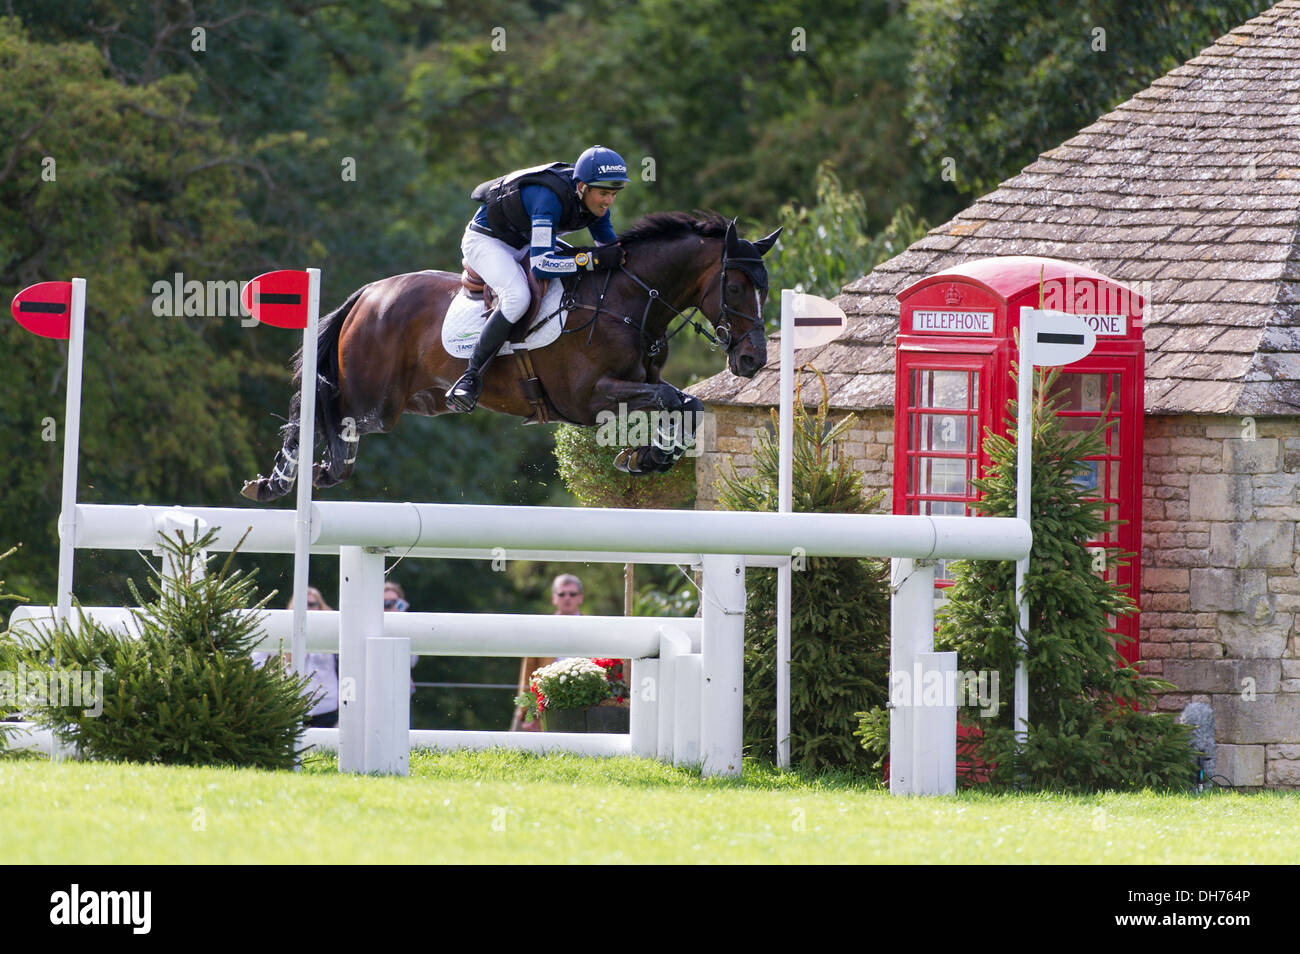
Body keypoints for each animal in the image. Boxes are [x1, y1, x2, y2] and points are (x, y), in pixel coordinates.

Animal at [239, 213, 774, 504]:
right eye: (733, 287)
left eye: (765, 289)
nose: (752, 360)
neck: (627, 299)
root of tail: (369, 293)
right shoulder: (589, 398)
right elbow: (671, 398)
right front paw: (648, 455)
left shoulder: (634, 388)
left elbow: (686, 404)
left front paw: (647, 457)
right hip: (373, 401)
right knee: (318, 412)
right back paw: (296, 476)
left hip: (414, 401)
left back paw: (294, 477)